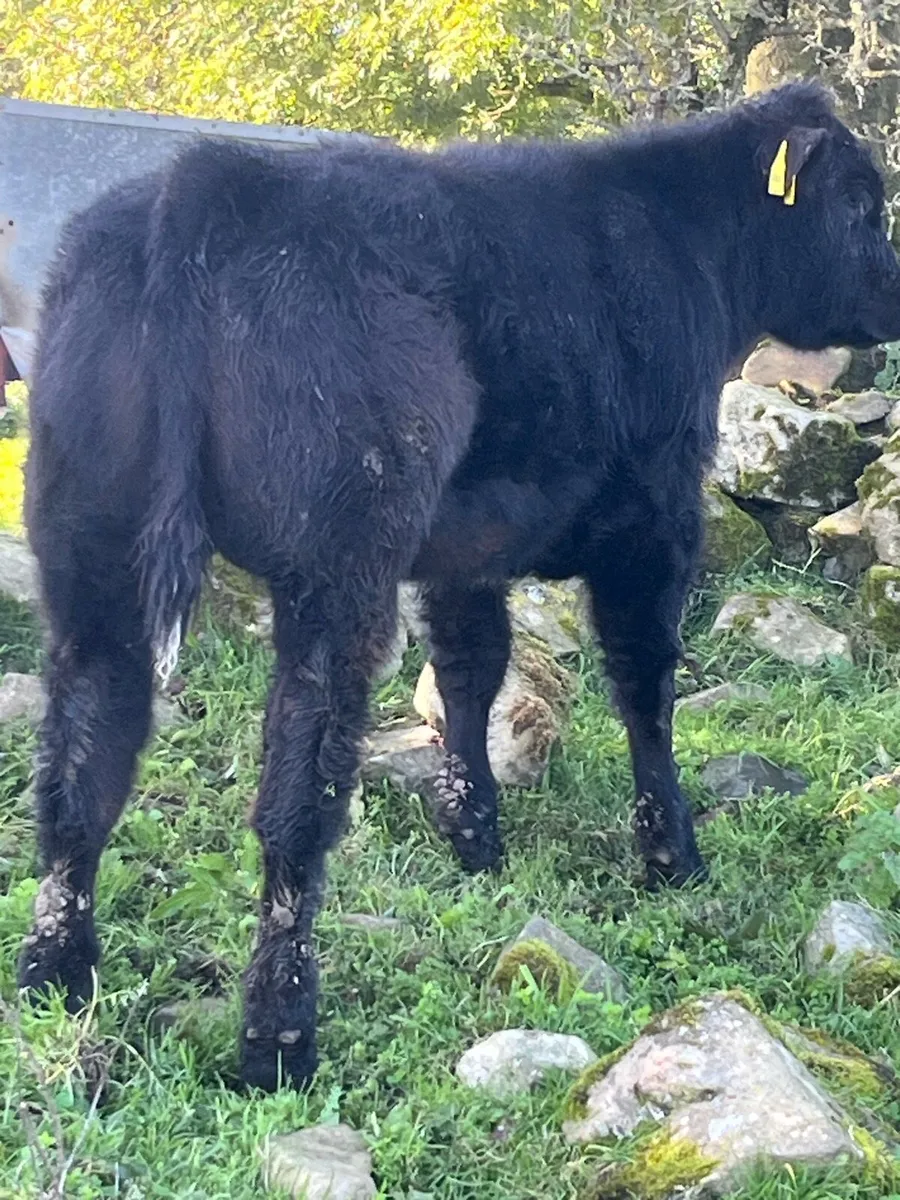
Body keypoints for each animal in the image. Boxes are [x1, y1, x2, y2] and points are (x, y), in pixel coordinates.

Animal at [17, 82, 900, 1092]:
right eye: (861, 204)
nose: (895, 297)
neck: (683, 240)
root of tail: (204, 178)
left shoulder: (464, 547)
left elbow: (472, 672)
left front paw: (474, 835)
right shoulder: (658, 511)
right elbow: (644, 685)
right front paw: (671, 854)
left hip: (93, 553)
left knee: (82, 767)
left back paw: (55, 980)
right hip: (337, 571)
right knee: (294, 804)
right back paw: (279, 1040)